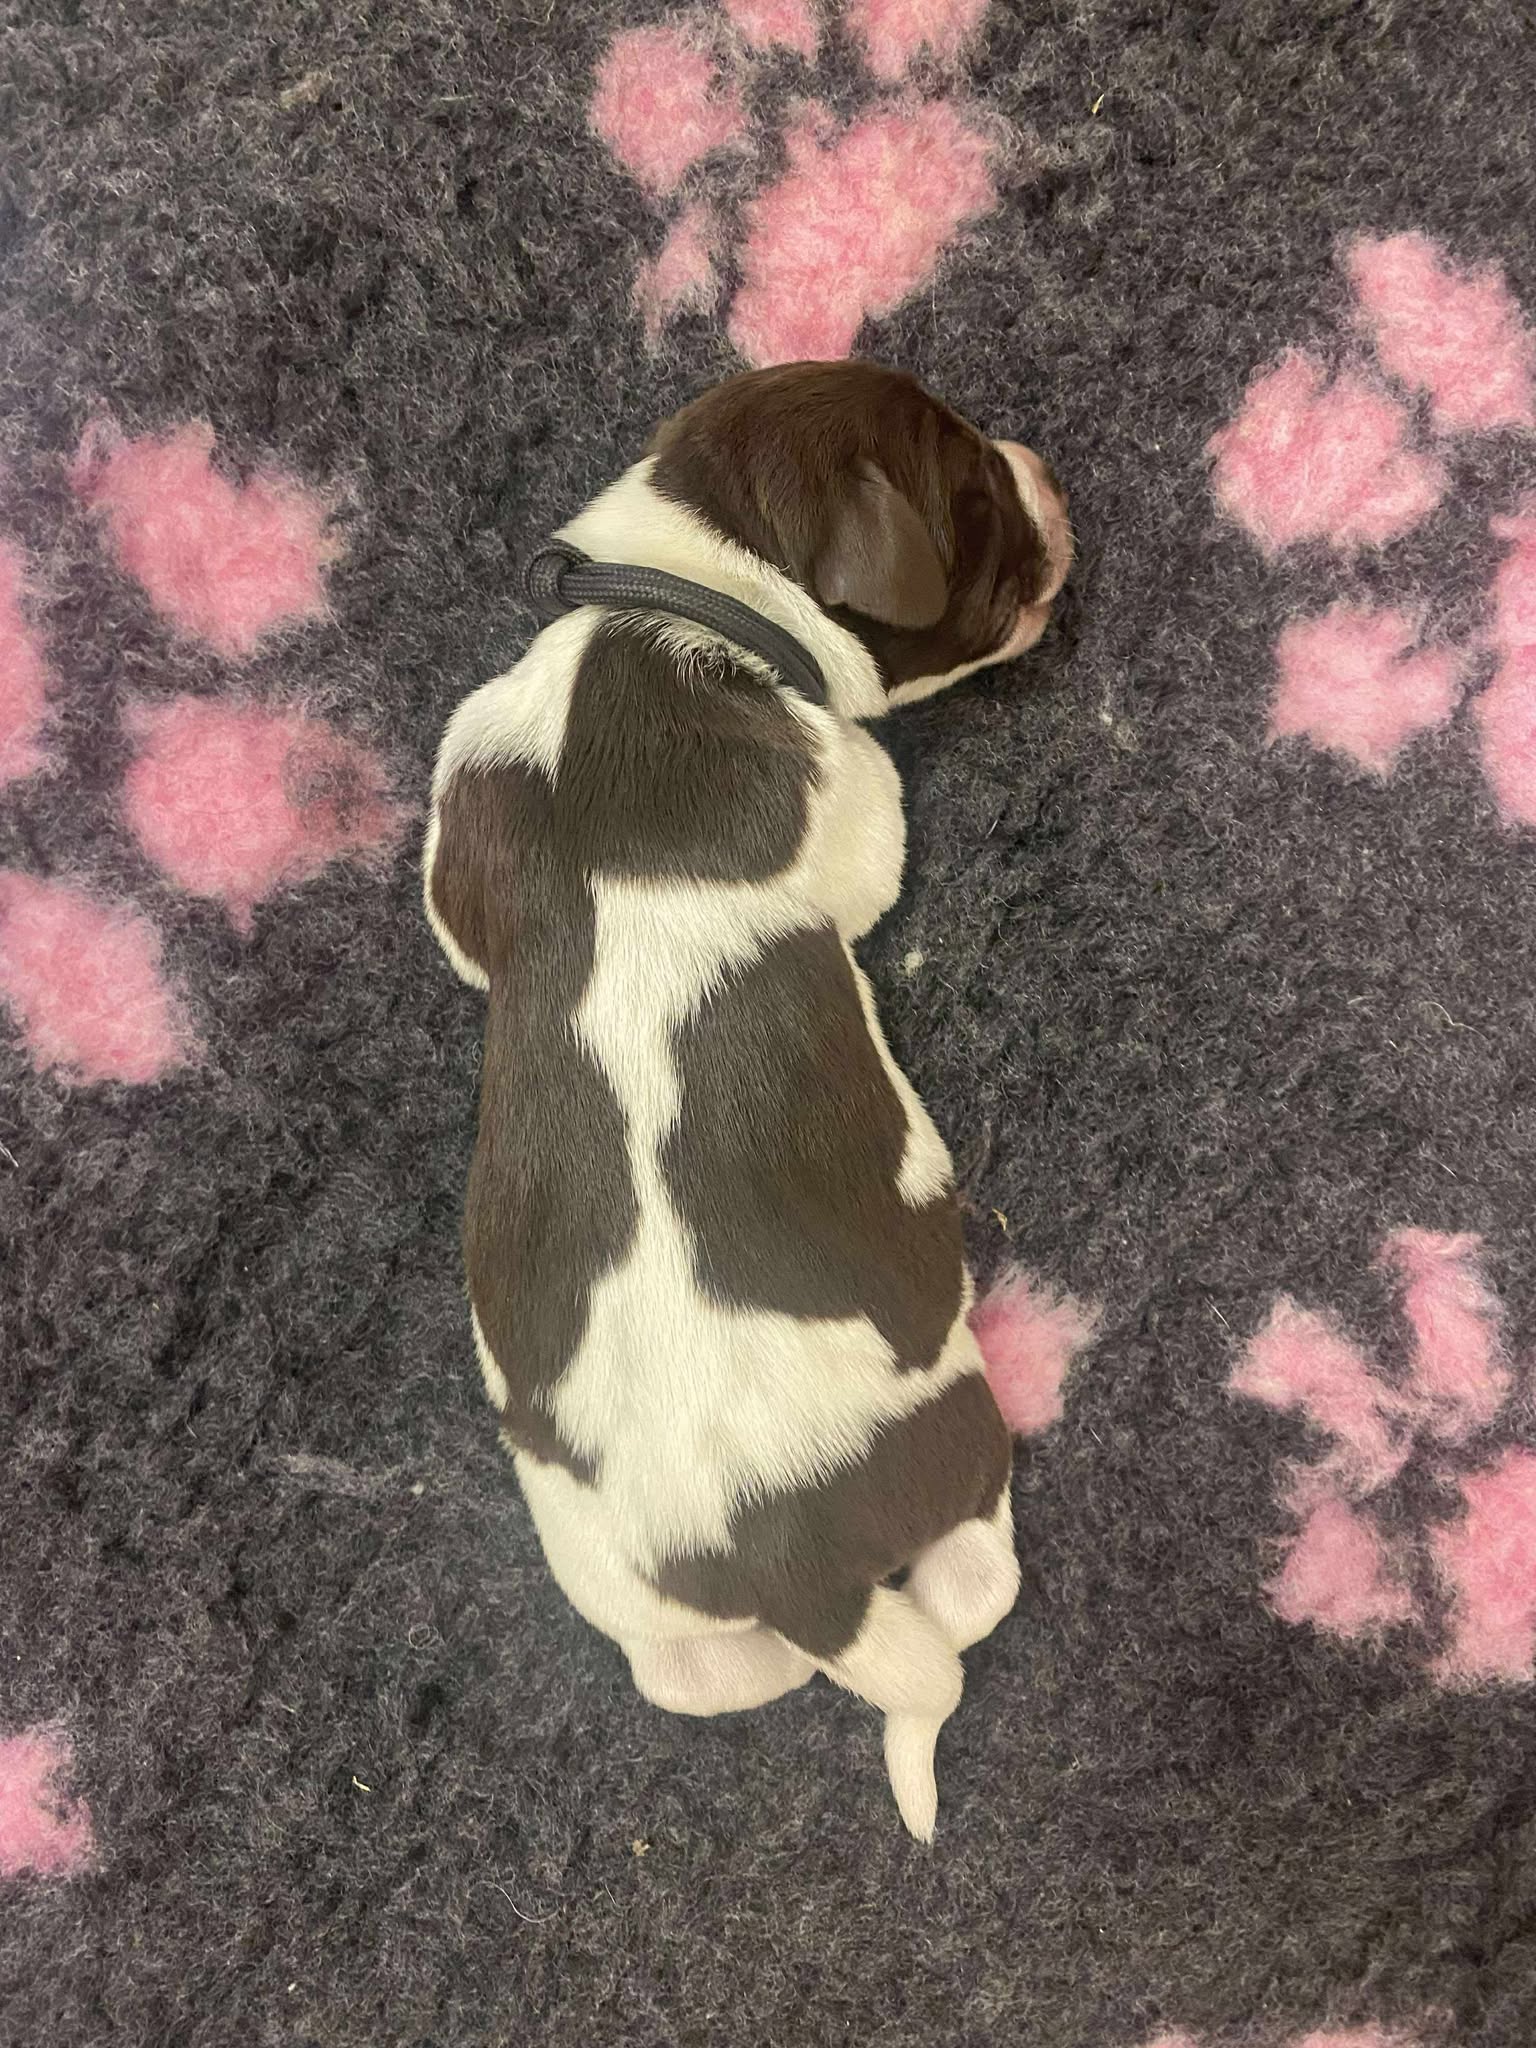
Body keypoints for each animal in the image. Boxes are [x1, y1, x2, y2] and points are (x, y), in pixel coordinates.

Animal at [423, 361, 1072, 1838]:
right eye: (977, 493)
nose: (1042, 465)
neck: (674, 597)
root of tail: (795, 1572)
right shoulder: (850, 798)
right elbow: (872, 837)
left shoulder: (466, 783)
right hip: (949, 1437)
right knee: (968, 1593)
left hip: (622, 1581)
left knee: (706, 1676)